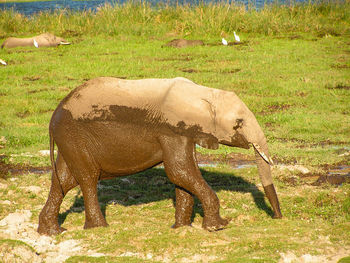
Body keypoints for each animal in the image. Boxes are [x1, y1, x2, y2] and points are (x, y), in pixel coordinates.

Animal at [37, 77, 282, 236]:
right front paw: (219, 226)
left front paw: (181, 228)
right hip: (74, 135)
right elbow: (179, 171)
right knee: (87, 178)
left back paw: (52, 232)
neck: (205, 93)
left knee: (63, 179)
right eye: (238, 123)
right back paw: (99, 228)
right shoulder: (172, 130)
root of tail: (54, 115)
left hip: (70, 140)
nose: (278, 217)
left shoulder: (184, 134)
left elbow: (183, 174)